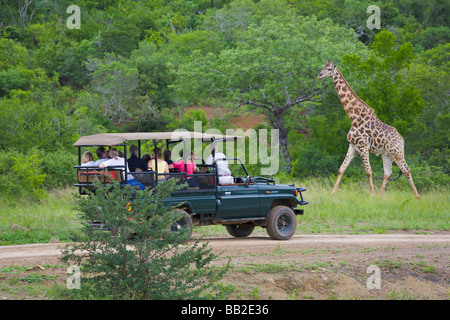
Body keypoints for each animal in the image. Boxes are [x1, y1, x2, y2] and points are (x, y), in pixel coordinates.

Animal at [318, 59, 420, 198]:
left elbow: (368, 171)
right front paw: (333, 193)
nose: (319, 75)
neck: (353, 117)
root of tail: (402, 140)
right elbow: (341, 169)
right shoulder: (352, 147)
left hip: (396, 152)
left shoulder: (363, 146)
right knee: (388, 173)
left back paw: (417, 196)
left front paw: (371, 194)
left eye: (329, 69)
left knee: (406, 170)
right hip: (386, 154)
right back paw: (379, 196)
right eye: (323, 67)